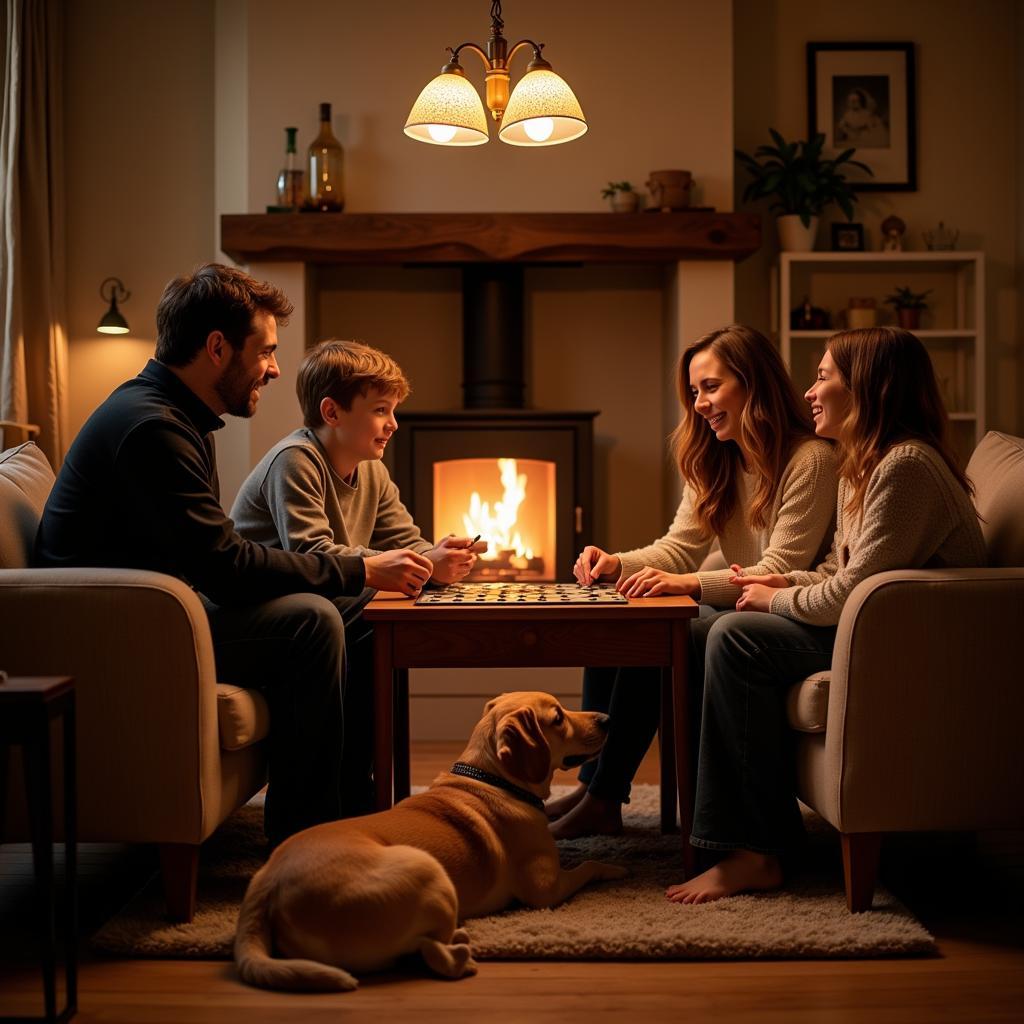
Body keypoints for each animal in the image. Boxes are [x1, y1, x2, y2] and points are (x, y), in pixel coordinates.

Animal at [235, 692, 626, 987]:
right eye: (558, 717)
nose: (607, 719)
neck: (492, 777)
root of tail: (266, 886)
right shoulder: (544, 890)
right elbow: (587, 865)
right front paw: (612, 868)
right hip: (429, 871)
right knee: (431, 954)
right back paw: (461, 952)